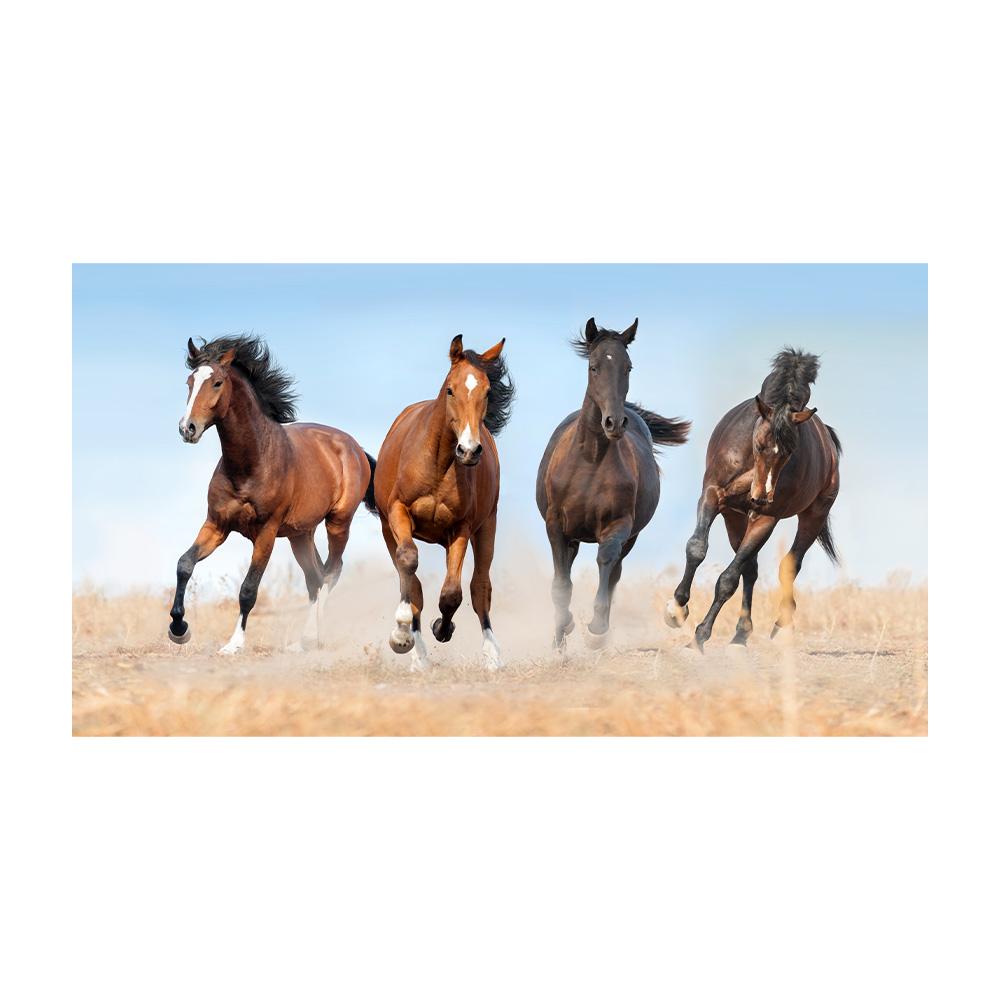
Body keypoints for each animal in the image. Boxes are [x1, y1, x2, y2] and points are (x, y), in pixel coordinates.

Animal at [167, 335, 377, 655]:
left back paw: (311, 637)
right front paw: (179, 629)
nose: (187, 428)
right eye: (189, 382)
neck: (251, 463)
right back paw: (303, 642)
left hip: (338, 522)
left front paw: (234, 644)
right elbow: (184, 565)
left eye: (217, 382)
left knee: (331, 572)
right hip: (300, 534)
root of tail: (354, 447)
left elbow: (248, 589)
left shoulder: (266, 532)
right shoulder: (216, 525)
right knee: (315, 578)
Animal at [373, 334, 513, 671]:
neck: (437, 464)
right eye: (451, 389)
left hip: (486, 527)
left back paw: (491, 654)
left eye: (487, 391)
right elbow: (409, 567)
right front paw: (401, 635)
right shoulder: (397, 514)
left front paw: (442, 627)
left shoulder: (461, 528)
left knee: (480, 587)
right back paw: (417, 653)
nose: (469, 450)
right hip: (387, 529)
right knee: (411, 581)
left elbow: (452, 593)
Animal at [536, 318, 690, 650]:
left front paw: (596, 628)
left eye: (628, 367)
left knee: (615, 569)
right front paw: (561, 633)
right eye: (593, 366)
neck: (590, 460)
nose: (614, 423)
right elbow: (560, 584)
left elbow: (606, 561)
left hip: (630, 537)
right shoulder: (556, 526)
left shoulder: (618, 525)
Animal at [664, 347, 842, 651]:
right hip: (734, 518)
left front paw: (700, 636)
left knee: (788, 564)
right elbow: (697, 548)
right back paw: (740, 634)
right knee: (751, 568)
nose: (761, 496)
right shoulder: (713, 496)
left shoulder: (766, 518)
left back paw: (778, 624)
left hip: (814, 515)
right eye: (759, 445)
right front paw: (676, 611)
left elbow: (728, 579)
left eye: (790, 451)